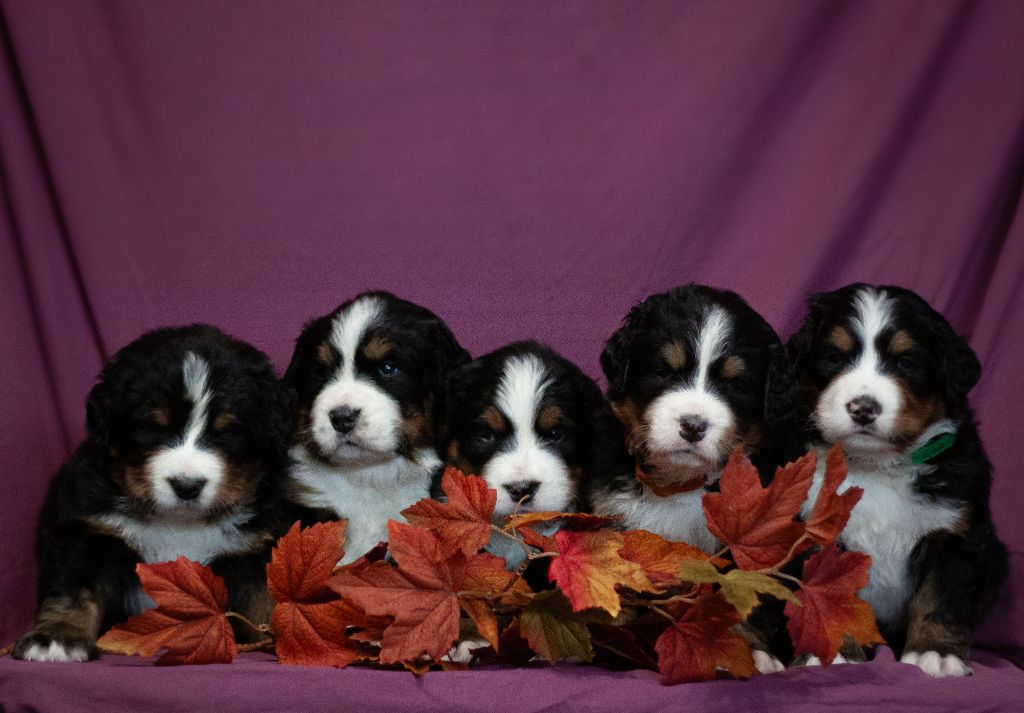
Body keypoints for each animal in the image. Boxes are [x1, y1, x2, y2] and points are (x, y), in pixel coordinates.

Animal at [12, 325, 292, 659]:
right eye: (152, 428)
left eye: (227, 431)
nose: (187, 485)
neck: (178, 523)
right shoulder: (87, 531)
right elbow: (73, 589)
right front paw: (57, 637)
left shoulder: (254, 546)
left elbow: (265, 598)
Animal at [786, 280, 1003, 676]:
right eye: (834, 358)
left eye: (906, 362)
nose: (863, 408)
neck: (877, 466)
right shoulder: (817, 530)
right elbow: (829, 598)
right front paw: (833, 653)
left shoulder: (955, 532)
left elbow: (941, 596)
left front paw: (936, 653)